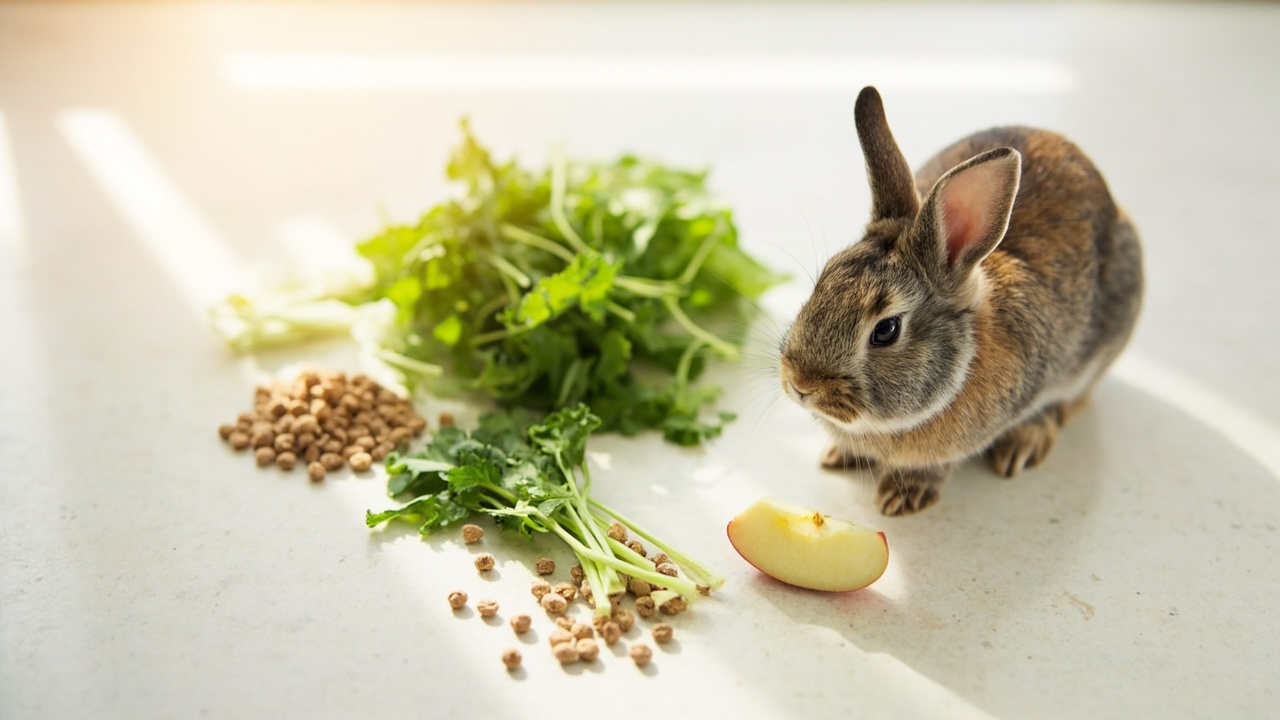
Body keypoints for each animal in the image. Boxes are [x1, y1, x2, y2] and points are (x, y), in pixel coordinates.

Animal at [778, 86, 1143, 516]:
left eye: (886, 330)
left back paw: (1025, 442)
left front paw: (904, 496)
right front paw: (839, 455)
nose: (801, 385)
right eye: (823, 280)